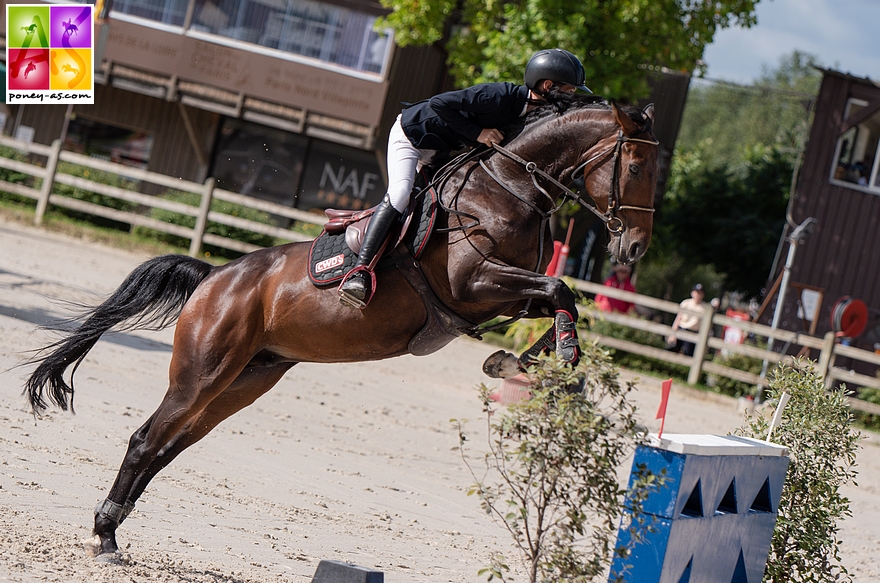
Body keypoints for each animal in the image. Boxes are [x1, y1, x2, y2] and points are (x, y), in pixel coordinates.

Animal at [22, 94, 660, 556]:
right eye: (634, 164)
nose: (634, 248)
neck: (508, 188)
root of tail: (214, 277)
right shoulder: (474, 286)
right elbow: (559, 290)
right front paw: (556, 365)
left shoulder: (499, 297)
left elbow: (559, 300)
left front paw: (525, 362)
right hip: (200, 374)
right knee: (144, 440)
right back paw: (105, 537)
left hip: (246, 381)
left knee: (167, 446)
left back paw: (111, 527)